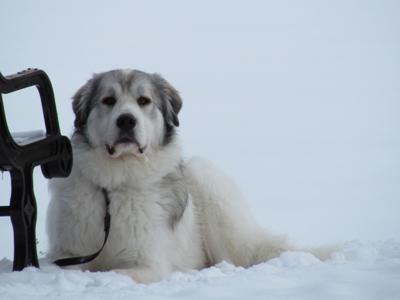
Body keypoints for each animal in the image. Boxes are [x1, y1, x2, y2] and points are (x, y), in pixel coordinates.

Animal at [47, 68, 326, 284]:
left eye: (143, 101)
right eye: (108, 100)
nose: (126, 120)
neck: (116, 186)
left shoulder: (149, 264)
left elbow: (115, 273)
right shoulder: (68, 253)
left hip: (206, 182)